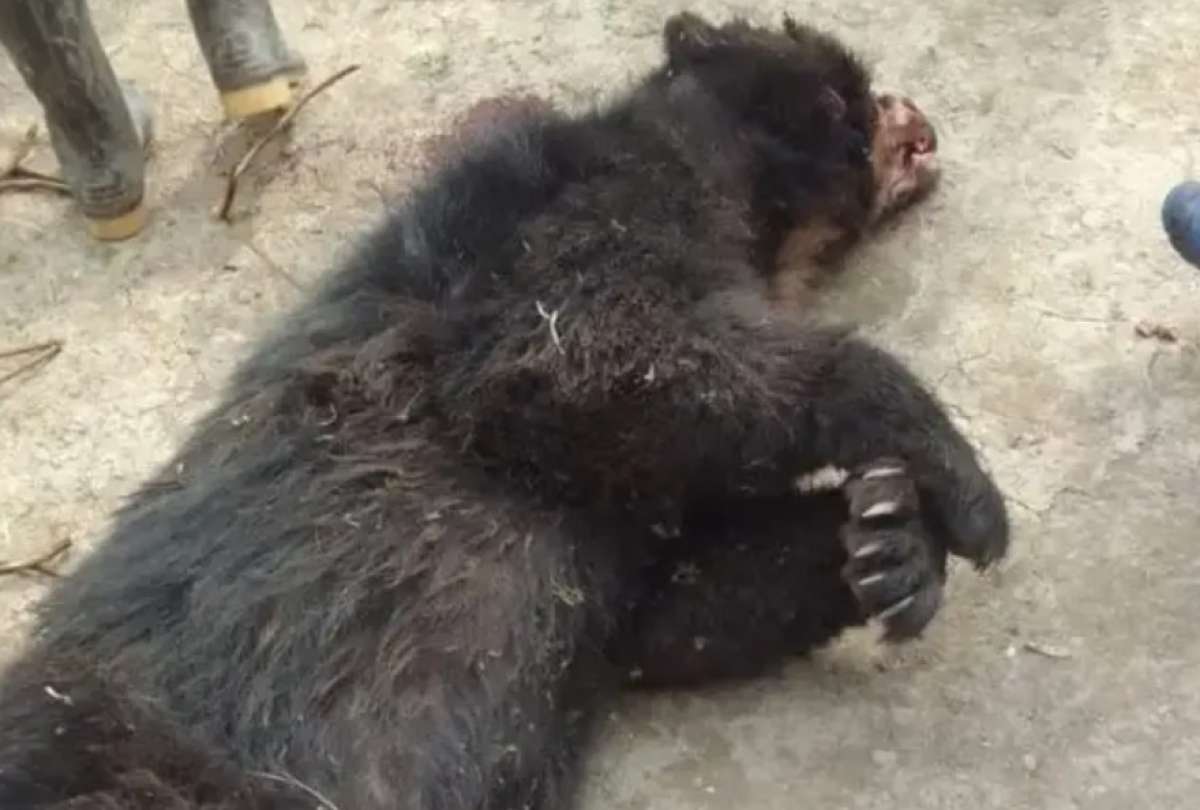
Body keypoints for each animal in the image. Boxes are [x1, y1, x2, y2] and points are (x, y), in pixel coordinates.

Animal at [0, 12, 1008, 810]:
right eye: (851, 93)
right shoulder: (559, 243)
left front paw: (887, 540)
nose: (919, 119)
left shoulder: (616, 546)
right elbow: (601, 359)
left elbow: (675, 604)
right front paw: (956, 481)